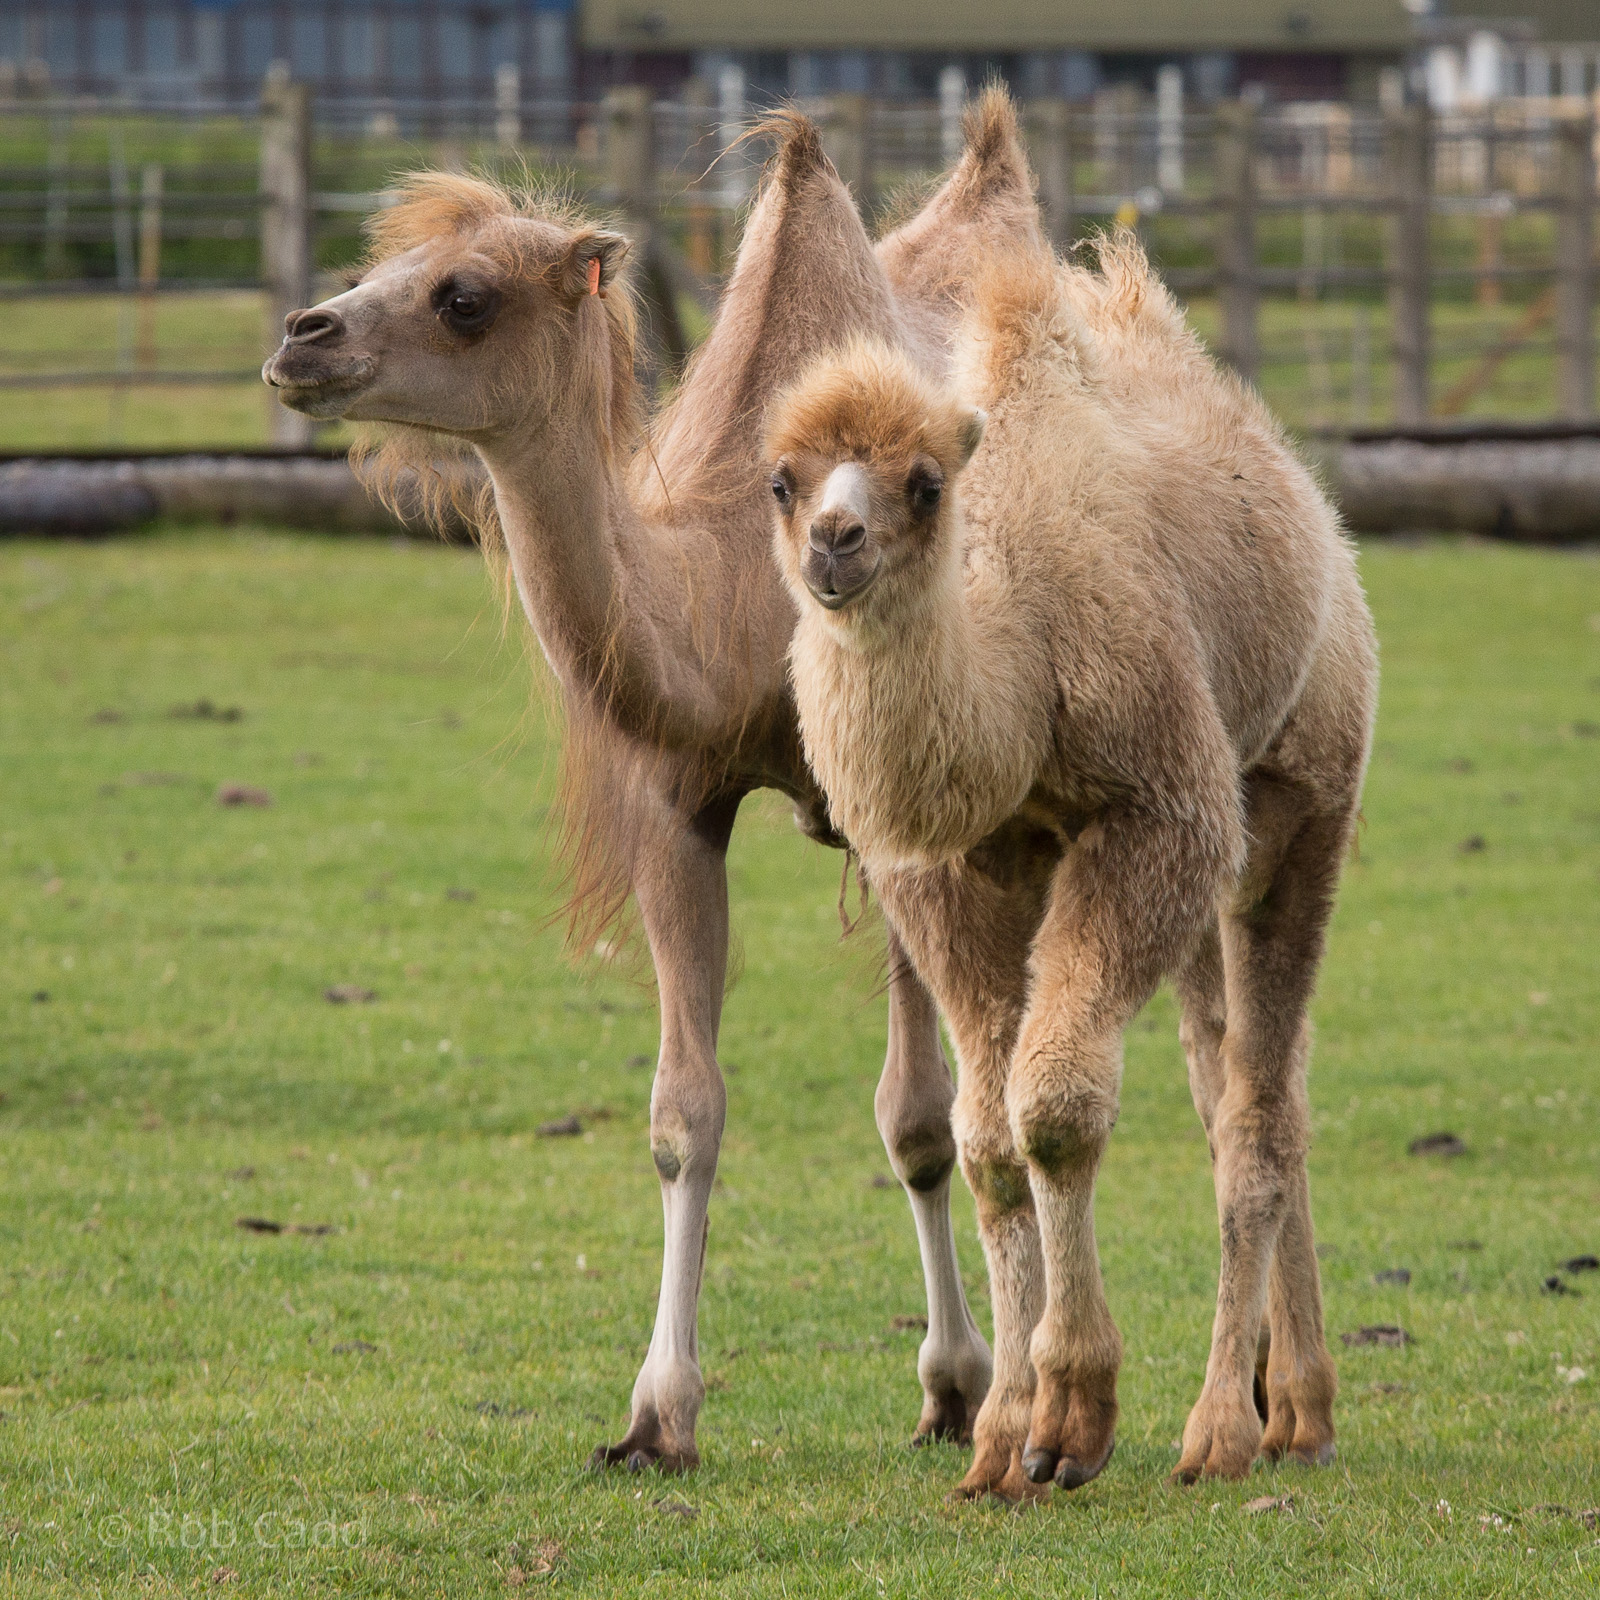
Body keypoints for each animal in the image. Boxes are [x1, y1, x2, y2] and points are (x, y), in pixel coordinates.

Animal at [263, 95, 1049, 1475]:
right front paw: (655, 1414)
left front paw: (962, 1384)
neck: (735, 587)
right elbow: (686, 1112)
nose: (302, 336)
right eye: (377, 265)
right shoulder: (682, 806)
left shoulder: (897, 809)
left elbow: (919, 1115)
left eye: (463, 296)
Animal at [764, 237, 1378, 1500]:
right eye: (782, 481)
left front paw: (1074, 1418)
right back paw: (1296, 1408)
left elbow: (1052, 1109)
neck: (1019, 654)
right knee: (1239, 1083)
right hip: (1196, 897)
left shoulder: (1156, 813)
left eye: (922, 482)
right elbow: (988, 1141)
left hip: (1301, 802)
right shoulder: (951, 870)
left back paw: (1227, 1428)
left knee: (1256, 1107)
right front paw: (1002, 1434)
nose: (833, 545)